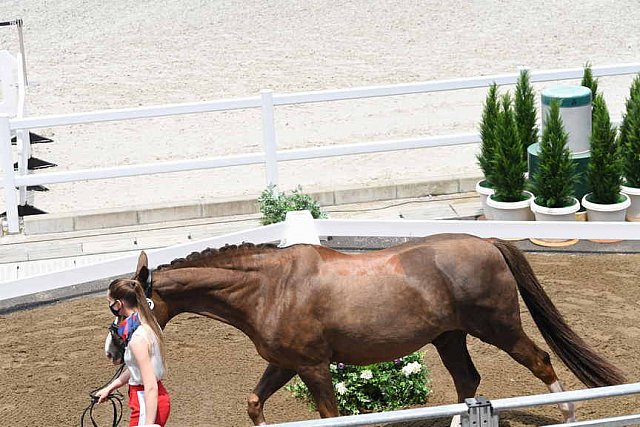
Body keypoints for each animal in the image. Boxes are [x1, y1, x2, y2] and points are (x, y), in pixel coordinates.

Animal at [104, 236, 620, 426]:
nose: (112, 350)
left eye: (116, 308)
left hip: (499, 328)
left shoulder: (313, 367)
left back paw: (570, 413)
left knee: (540, 361)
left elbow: (330, 415)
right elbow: (254, 403)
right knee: (468, 382)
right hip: (449, 336)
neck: (269, 287)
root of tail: (488, 242)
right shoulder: (285, 363)